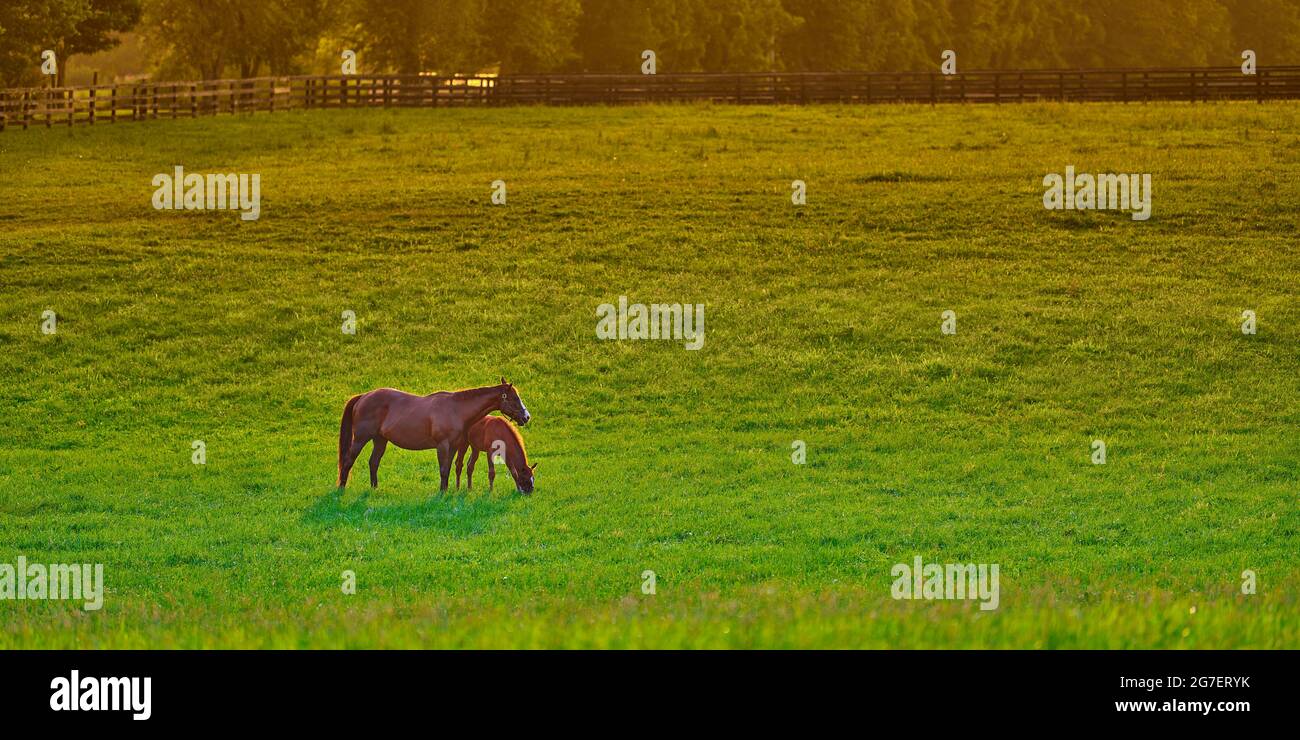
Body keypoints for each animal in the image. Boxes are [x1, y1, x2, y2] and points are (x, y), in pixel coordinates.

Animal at [343, 377, 535, 494]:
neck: (456, 409)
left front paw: (446, 490)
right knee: (348, 461)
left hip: (380, 440)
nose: (526, 417)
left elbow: (449, 469)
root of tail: (364, 396)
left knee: (373, 462)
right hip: (360, 439)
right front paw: (442, 493)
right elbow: (443, 469)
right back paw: (341, 489)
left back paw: (374, 489)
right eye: (514, 398)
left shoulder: (454, 447)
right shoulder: (442, 445)